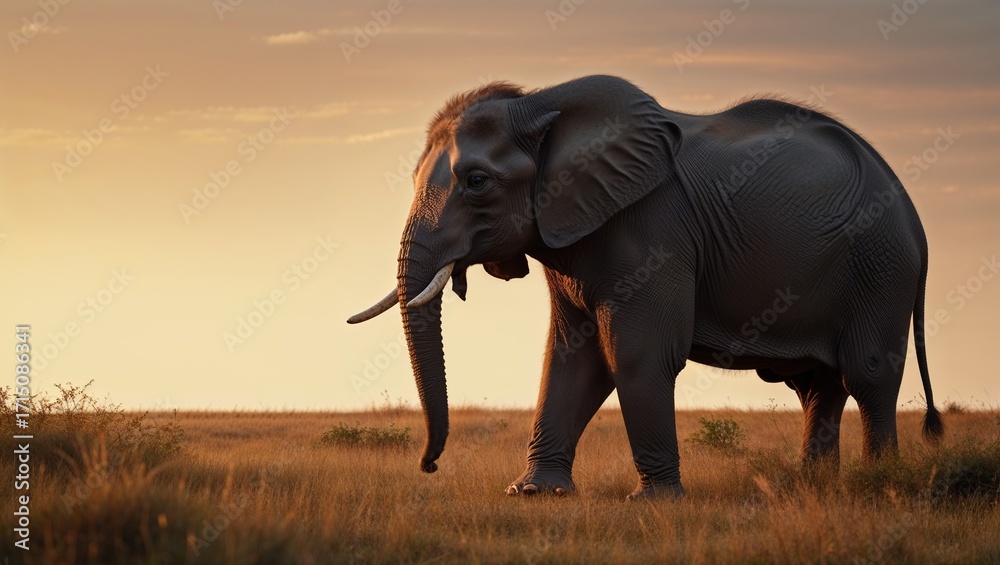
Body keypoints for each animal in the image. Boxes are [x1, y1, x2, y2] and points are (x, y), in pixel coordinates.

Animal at [348, 75, 943, 499]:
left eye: (476, 182)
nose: (429, 465)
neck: (542, 103)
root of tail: (912, 209)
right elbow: (570, 355)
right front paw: (535, 494)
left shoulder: (654, 227)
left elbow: (635, 353)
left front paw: (656, 500)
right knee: (819, 385)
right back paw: (810, 488)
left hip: (881, 266)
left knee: (867, 373)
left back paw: (880, 486)